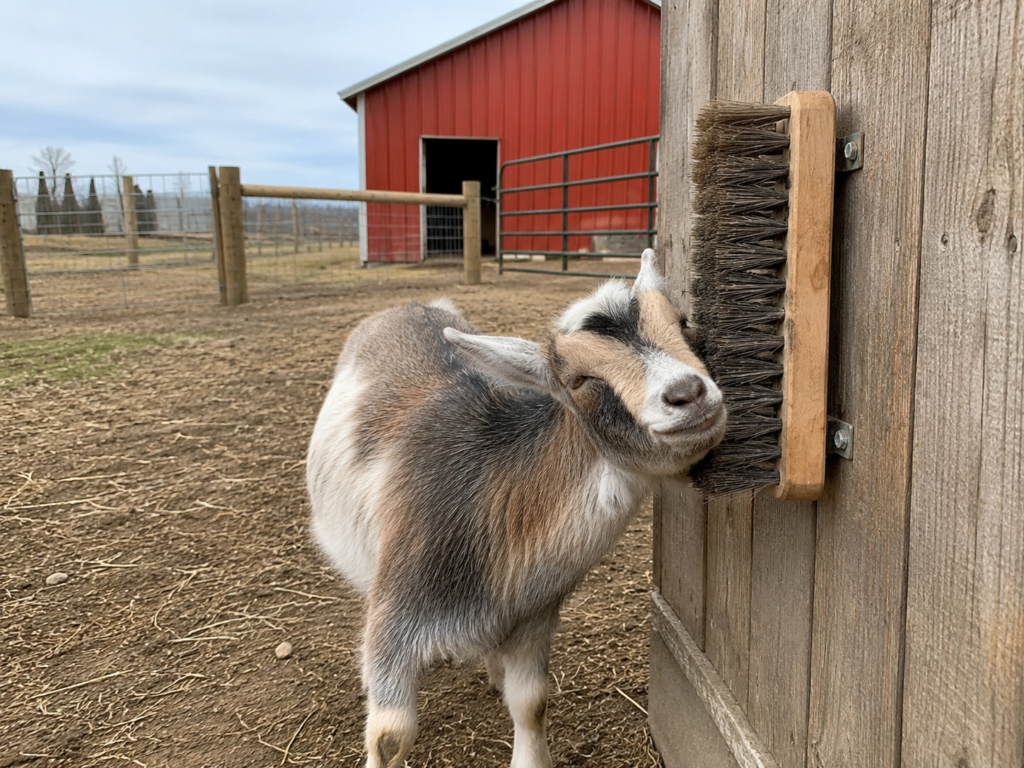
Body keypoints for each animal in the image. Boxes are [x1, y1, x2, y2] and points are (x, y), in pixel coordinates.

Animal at [306, 250, 726, 768]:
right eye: (578, 380)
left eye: (683, 324)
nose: (688, 394)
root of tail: (410, 305)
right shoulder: (395, 615)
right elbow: (390, 736)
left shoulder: (533, 619)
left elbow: (531, 701)